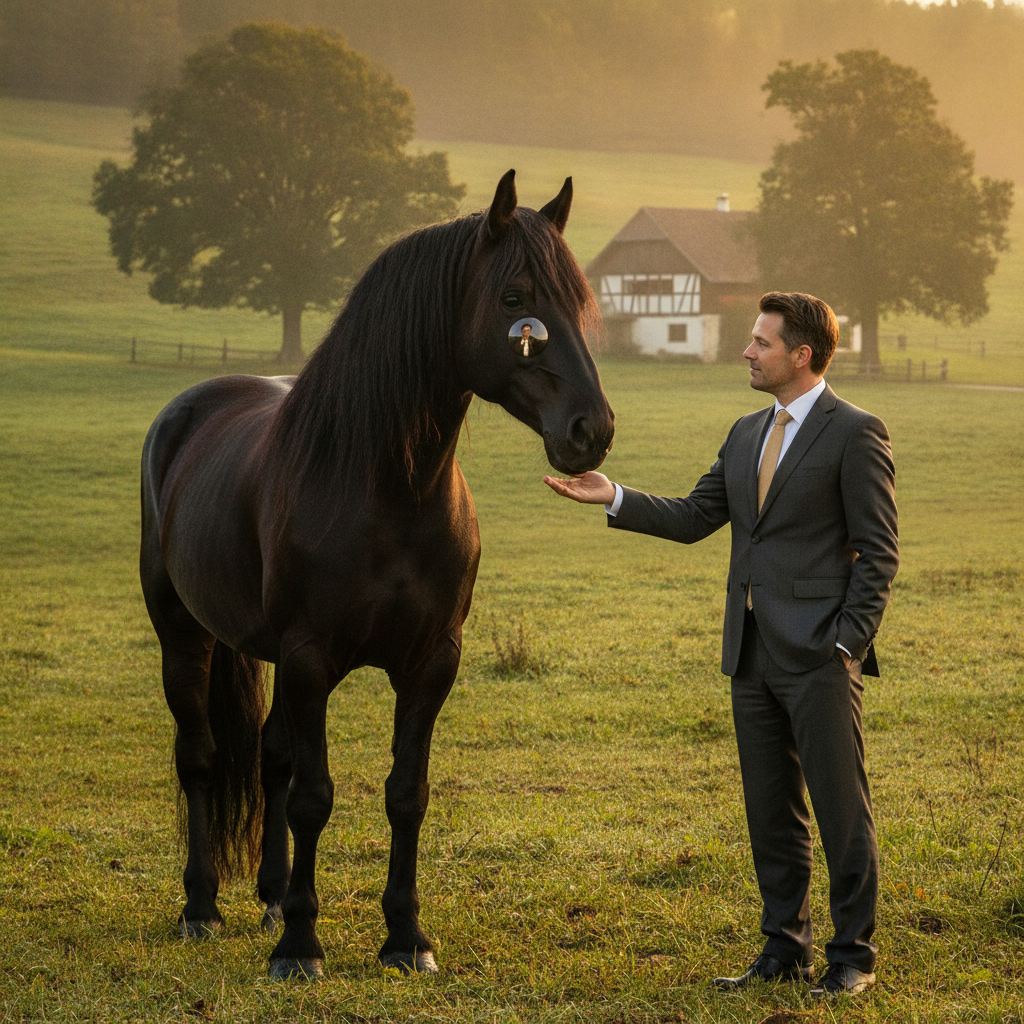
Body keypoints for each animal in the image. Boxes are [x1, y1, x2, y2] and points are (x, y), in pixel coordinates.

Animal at [139, 170, 615, 980]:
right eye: (515, 299)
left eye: (581, 300)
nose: (593, 430)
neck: (388, 488)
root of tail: (191, 406)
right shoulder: (308, 659)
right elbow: (314, 796)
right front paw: (301, 948)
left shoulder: (430, 662)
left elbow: (405, 794)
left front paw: (404, 938)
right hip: (184, 636)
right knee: (200, 759)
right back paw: (201, 907)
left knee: (268, 757)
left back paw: (271, 897)